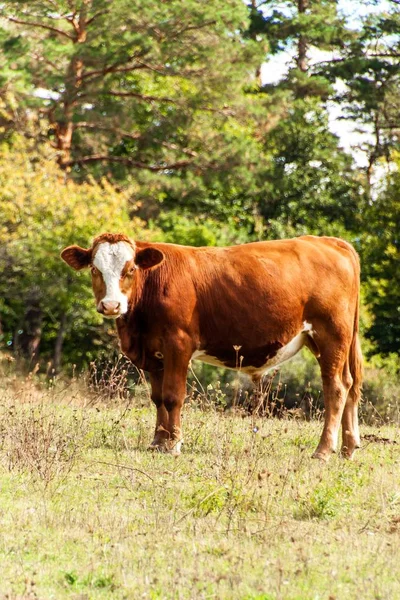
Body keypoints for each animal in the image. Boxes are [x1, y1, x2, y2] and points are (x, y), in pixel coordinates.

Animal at [61, 233, 362, 460]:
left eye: (130, 269)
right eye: (94, 269)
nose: (111, 305)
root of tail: (328, 241)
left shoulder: (178, 344)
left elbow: (173, 396)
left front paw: (174, 444)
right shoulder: (155, 352)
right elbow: (157, 398)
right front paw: (158, 441)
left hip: (331, 334)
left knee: (335, 388)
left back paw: (323, 450)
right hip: (330, 340)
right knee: (350, 384)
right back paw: (348, 448)